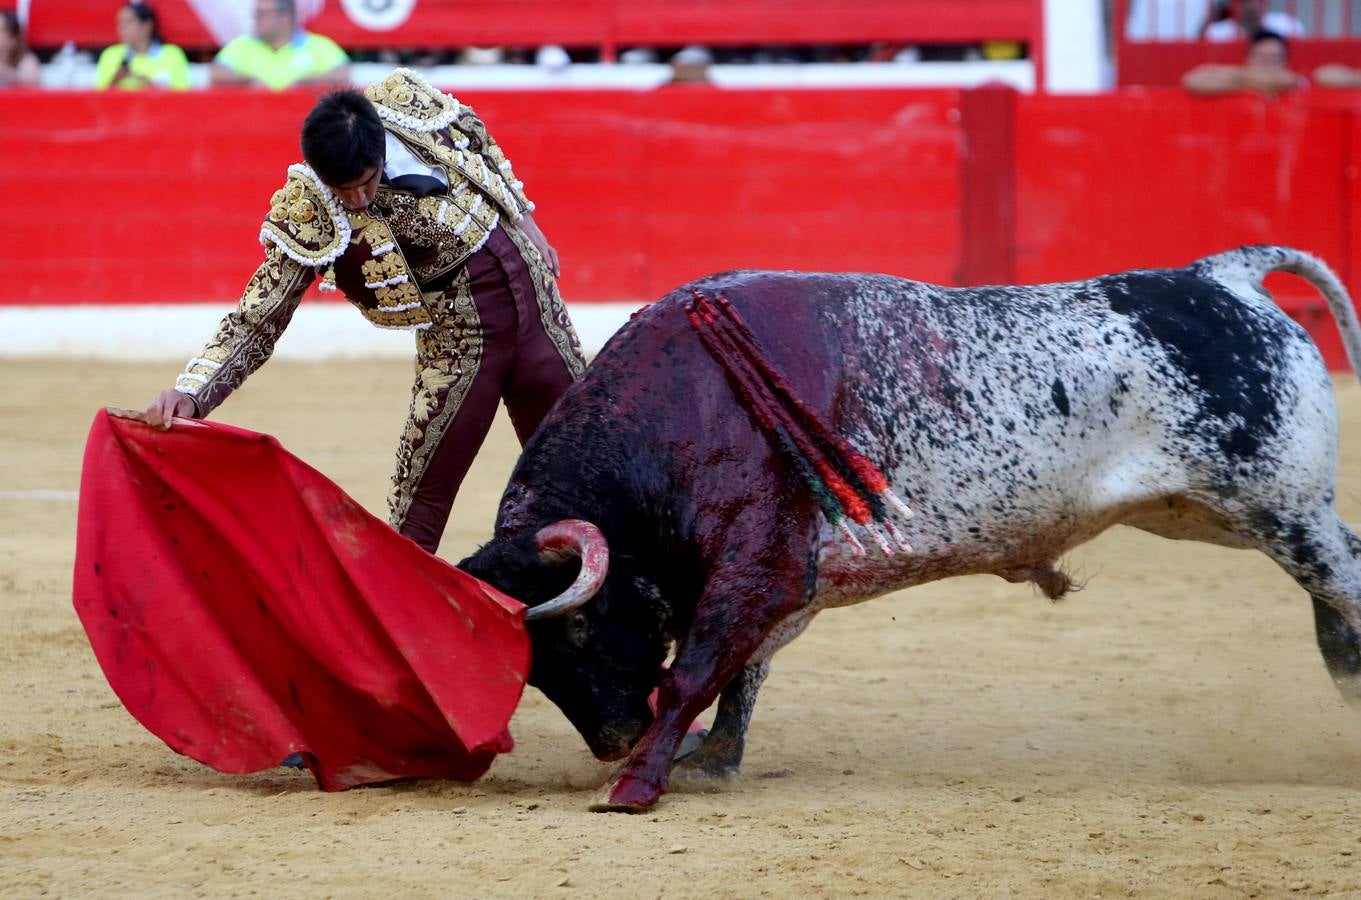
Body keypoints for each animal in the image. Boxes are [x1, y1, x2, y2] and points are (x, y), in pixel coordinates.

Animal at [460, 243, 1361, 806]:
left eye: (577, 631)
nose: (614, 740)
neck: (680, 410)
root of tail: (1221, 276)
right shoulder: (791, 583)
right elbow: (743, 673)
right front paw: (709, 761)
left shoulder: (757, 567)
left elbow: (700, 669)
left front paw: (640, 783)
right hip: (1213, 515)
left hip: (1278, 509)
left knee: (1345, 578)